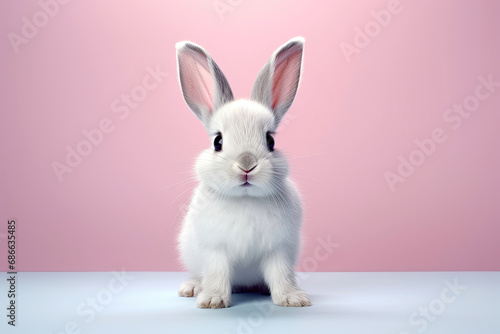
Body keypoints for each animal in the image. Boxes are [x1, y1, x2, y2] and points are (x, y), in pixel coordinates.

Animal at [175, 36, 308, 308]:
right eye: (218, 142)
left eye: (270, 141)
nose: (247, 164)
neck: (245, 199)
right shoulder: (215, 250)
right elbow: (216, 273)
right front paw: (212, 300)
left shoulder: (279, 250)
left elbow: (281, 275)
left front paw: (292, 299)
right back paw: (192, 288)